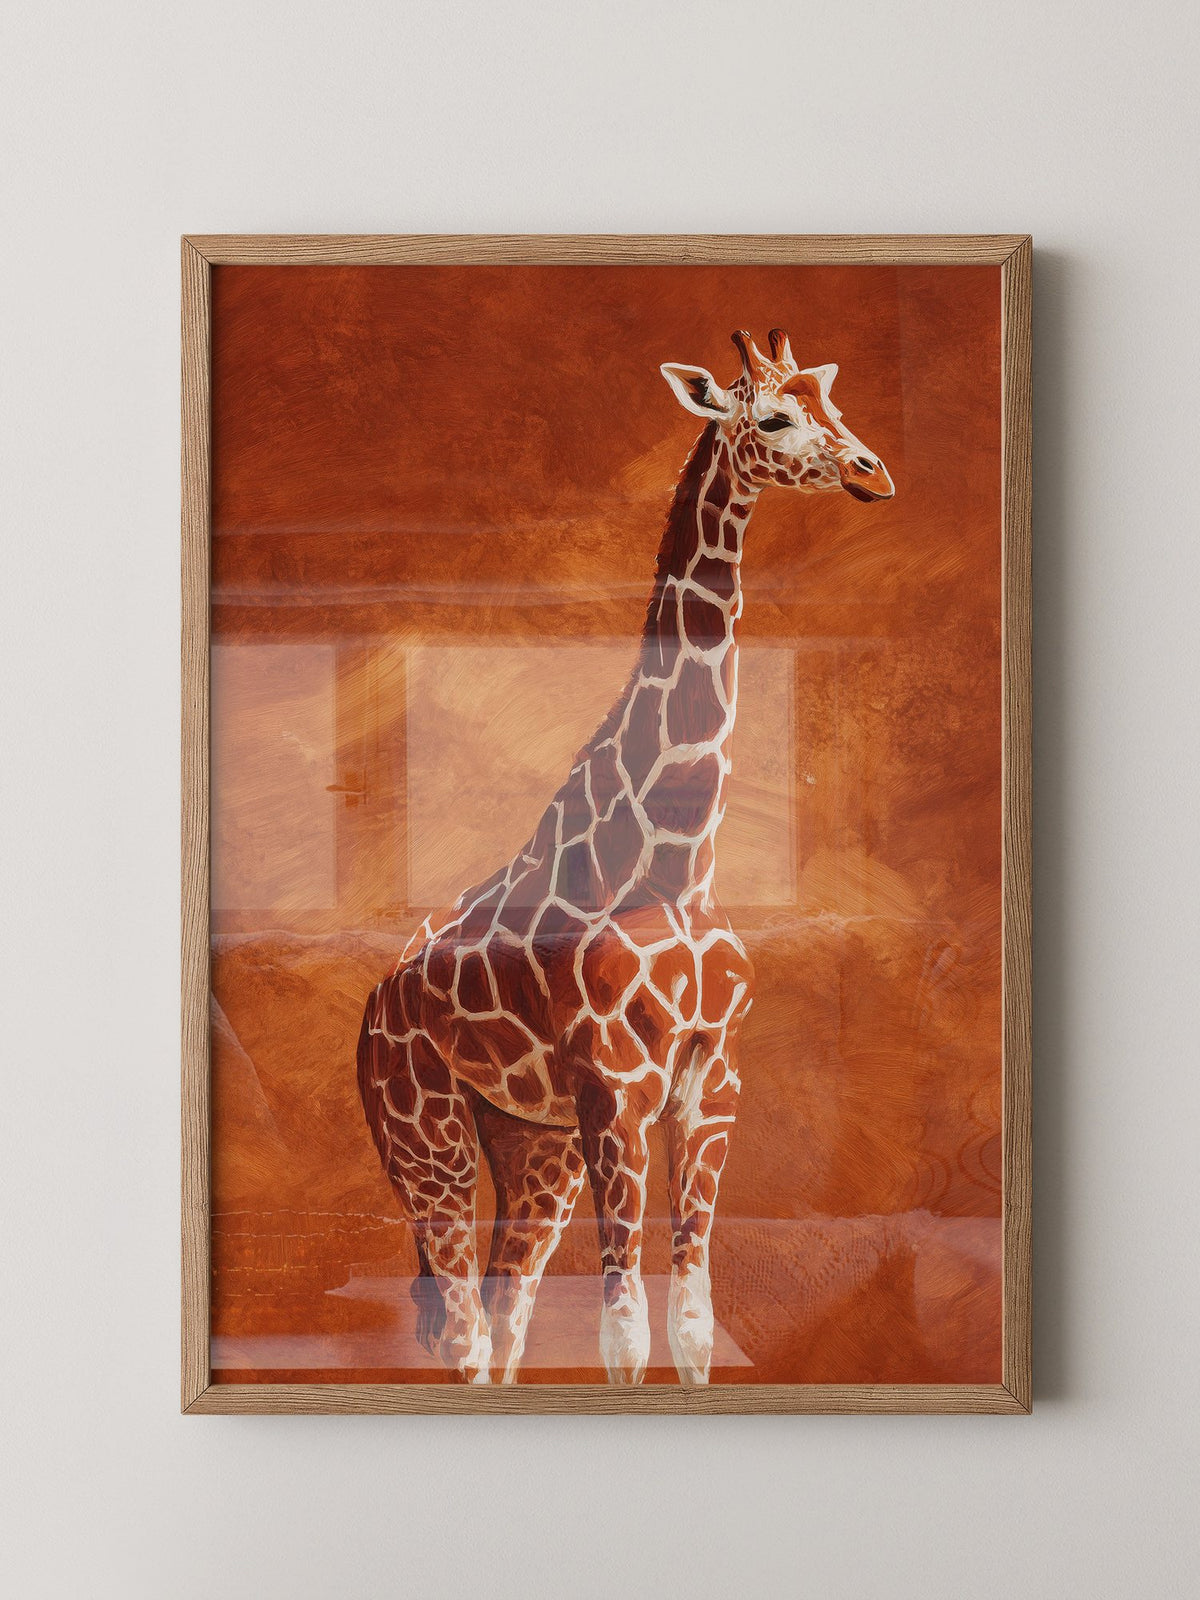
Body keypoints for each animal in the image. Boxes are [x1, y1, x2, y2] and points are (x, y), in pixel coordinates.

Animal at [356, 327, 894, 1385]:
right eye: (775, 417)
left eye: (839, 408)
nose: (871, 472)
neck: (680, 859)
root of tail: (373, 1003)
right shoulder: (616, 1091)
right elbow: (624, 1329)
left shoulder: (708, 1088)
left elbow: (690, 1322)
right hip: (427, 1139)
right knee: (465, 1331)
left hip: (533, 1147)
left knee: (505, 1315)